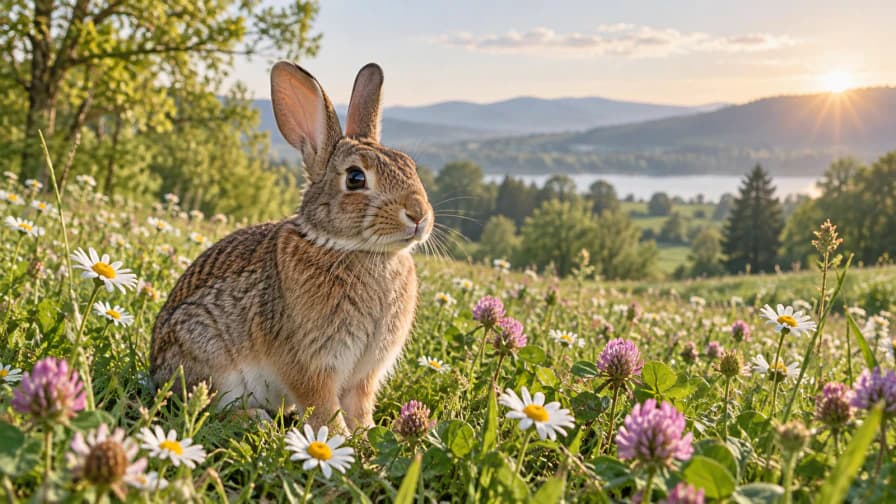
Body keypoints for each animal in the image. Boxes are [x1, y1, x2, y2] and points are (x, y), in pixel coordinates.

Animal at [150, 61, 433, 432]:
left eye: (409, 165)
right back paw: (256, 419)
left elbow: (359, 408)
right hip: (208, 358)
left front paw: (367, 435)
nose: (419, 214)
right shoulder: (311, 363)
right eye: (355, 178)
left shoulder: (364, 374)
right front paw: (342, 440)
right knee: (204, 408)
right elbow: (323, 407)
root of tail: (155, 370)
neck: (354, 249)